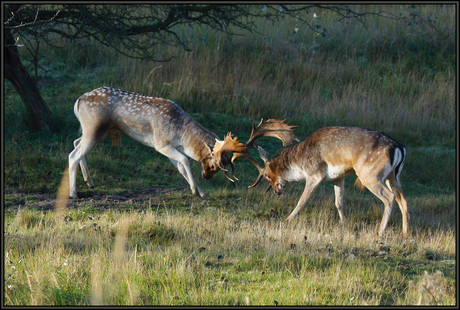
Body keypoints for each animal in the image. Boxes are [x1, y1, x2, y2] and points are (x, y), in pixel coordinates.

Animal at [68, 86, 296, 200]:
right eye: (216, 165)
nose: (206, 177)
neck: (181, 132)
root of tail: (78, 101)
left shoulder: (170, 148)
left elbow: (179, 166)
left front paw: (201, 192)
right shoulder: (161, 144)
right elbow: (185, 162)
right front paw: (196, 191)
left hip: (97, 130)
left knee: (75, 142)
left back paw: (89, 181)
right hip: (95, 127)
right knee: (73, 154)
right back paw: (73, 193)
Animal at [234, 126, 410, 237]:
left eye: (267, 175)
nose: (277, 192)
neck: (300, 163)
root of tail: (399, 148)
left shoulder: (314, 173)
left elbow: (302, 200)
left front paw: (287, 219)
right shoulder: (339, 177)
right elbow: (339, 202)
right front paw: (343, 223)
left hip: (370, 174)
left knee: (389, 198)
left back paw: (380, 232)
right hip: (394, 177)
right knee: (403, 200)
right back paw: (405, 233)